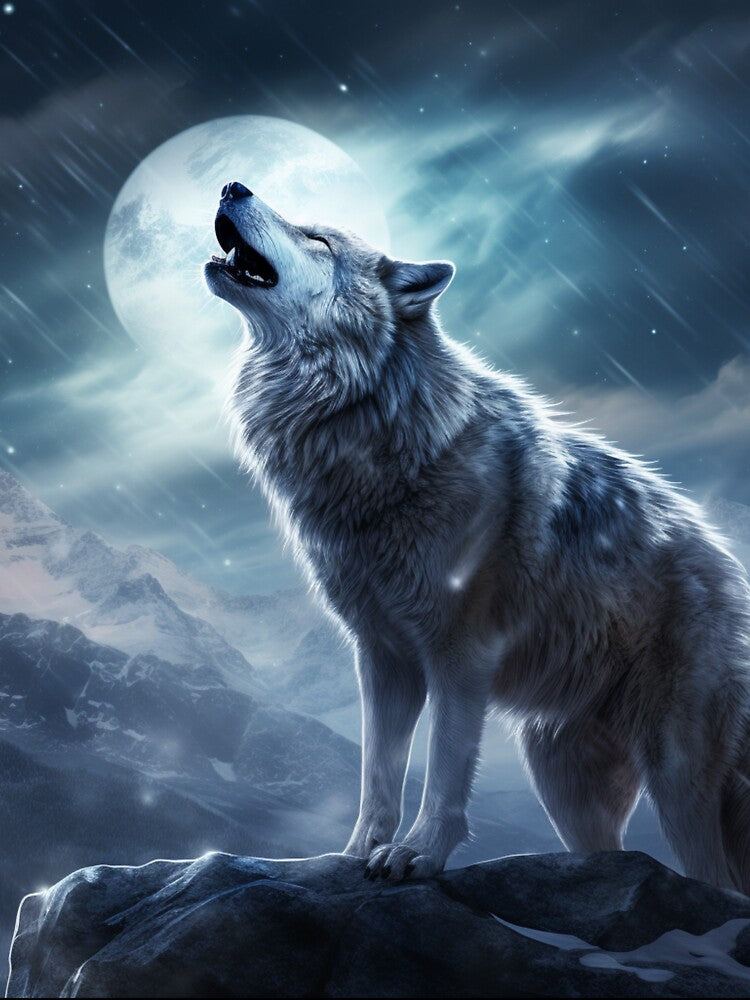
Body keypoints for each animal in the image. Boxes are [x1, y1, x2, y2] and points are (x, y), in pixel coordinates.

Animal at [205, 180, 750, 890]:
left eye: (318, 239)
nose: (231, 185)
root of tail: (728, 560)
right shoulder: (382, 657)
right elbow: (377, 776)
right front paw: (351, 857)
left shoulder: (459, 656)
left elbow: (443, 770)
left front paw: (417, 853)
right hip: (563, 784)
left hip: (680, 781)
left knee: (717, 880)